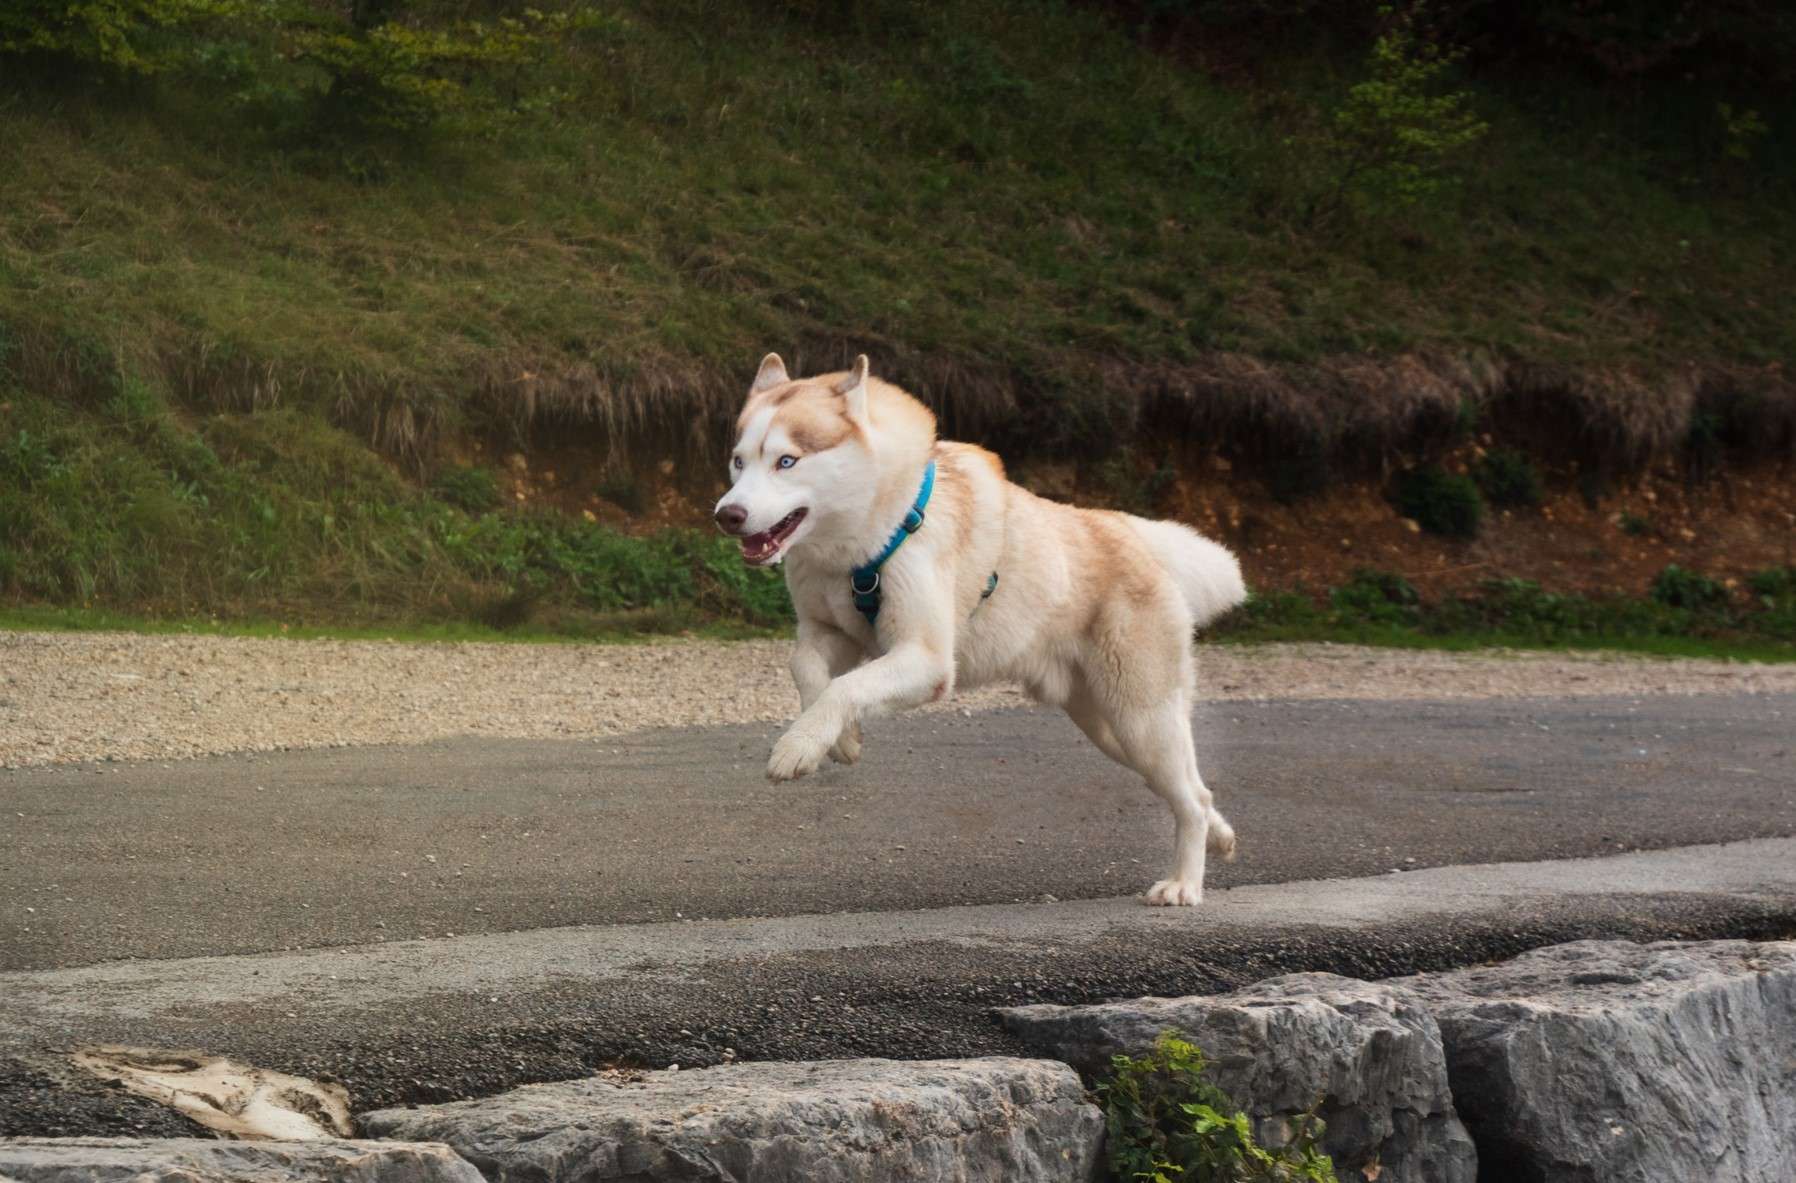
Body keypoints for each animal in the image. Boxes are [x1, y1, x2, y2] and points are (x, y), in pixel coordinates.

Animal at [714, 351, 1250, 908]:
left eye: (786, 461)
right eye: (739, 461)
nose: (727, 515)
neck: (866, 543)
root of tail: (1128, 529)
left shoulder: (926, 660)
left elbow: (845, 688)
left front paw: (797, 747)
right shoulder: (831, 633)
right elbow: (807, 669)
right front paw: (838, 740)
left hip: (1142, 720)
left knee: (1189, 799)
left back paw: (1184, 883)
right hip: (1111, 731)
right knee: (1194, 789)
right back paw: (1220, 836)